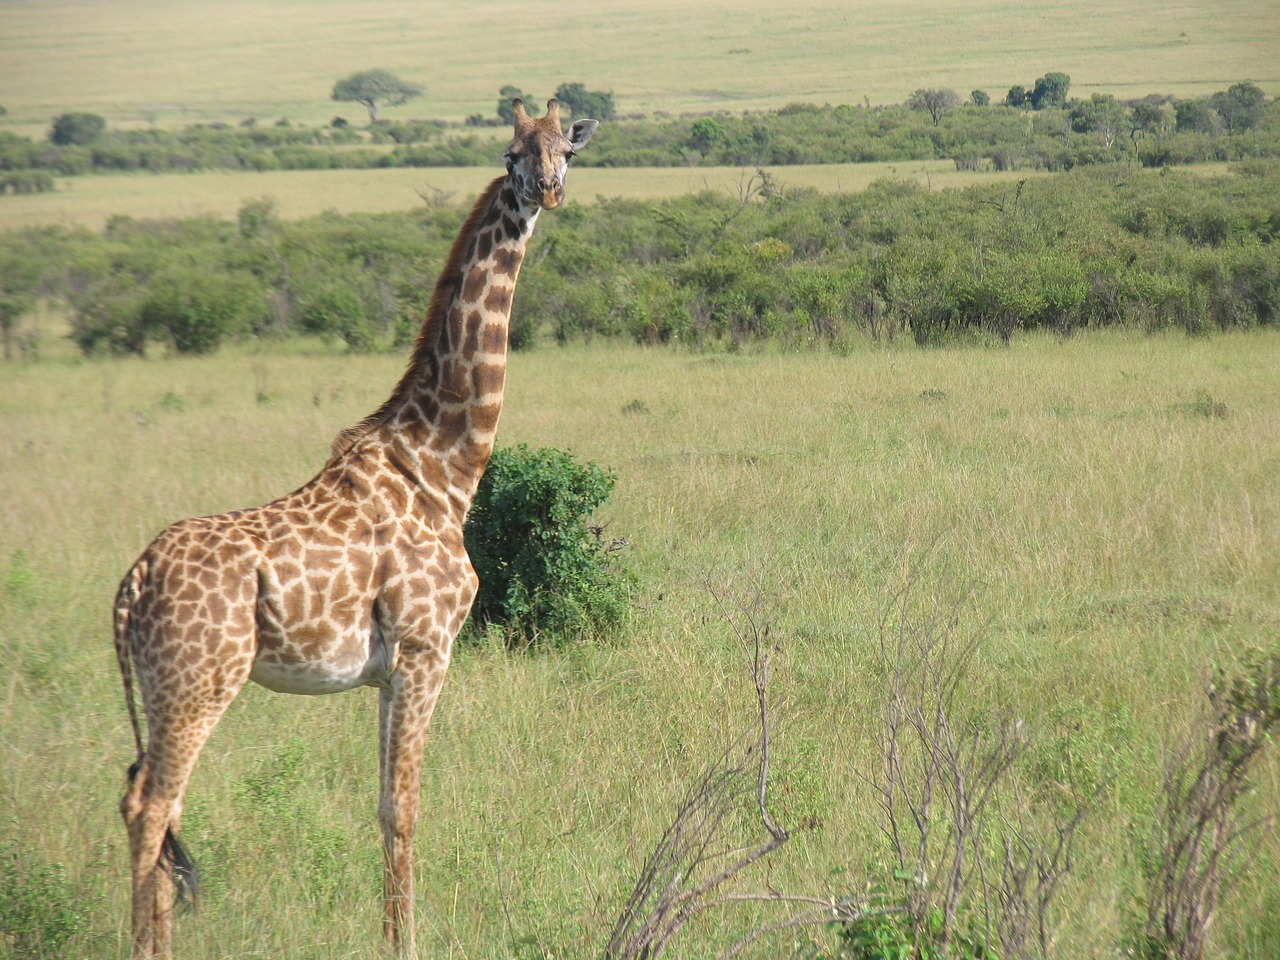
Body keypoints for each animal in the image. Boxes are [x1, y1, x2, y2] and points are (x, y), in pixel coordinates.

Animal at [113, 99, 593, 960]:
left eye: (566, 149)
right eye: (511, 154)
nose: (546, 190)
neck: (442, 466)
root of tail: (130, 584)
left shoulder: (391, 668)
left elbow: (384, 805)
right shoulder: (426, 650)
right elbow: (402, 810)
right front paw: (406, 943)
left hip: (164, 687)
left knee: (148, 803)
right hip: (197, 682)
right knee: (152, 808)